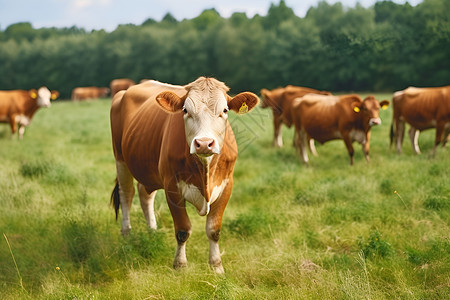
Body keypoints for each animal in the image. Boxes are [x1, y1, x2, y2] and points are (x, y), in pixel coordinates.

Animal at [109, 76, 258, 274]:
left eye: (225, 110)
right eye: (185, 110)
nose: (204, 143)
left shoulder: (227, 185)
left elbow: (214, 230)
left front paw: (217, 266)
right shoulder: (172, 187)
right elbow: (183, 230)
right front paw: (180, 265)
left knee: (144, 194)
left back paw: (152, 232)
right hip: (120, 159)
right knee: (126, 194)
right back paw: (126, 234)